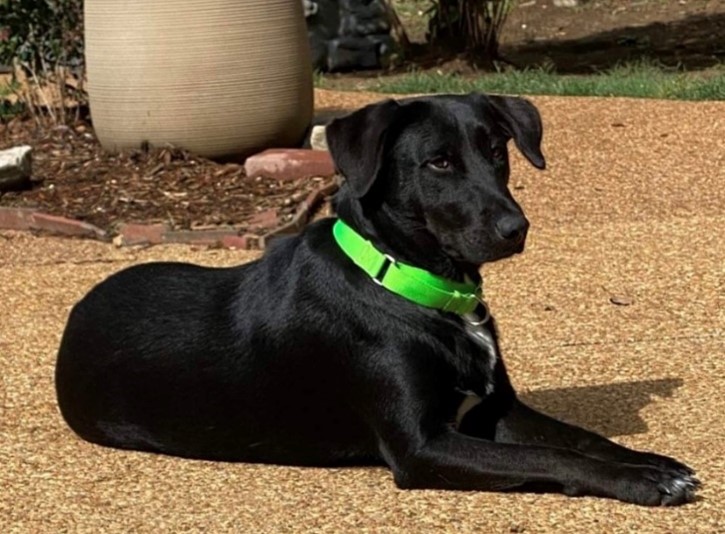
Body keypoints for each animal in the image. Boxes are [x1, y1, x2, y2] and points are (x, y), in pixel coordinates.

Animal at [56, 93, 699, 506]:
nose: (516, 229)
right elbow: (552, 460)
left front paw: (655, 463)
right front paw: (644, 483)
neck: (410, 285)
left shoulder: (494, 409)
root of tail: (77, 311)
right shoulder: (424, 446)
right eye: (438, 161)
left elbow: (582, 439)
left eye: (498, 151)